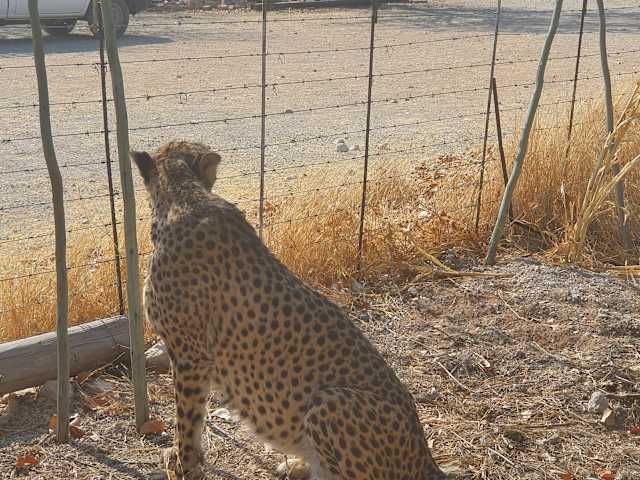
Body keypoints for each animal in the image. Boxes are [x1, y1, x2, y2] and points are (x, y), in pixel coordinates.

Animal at [132, 141, 447, 480]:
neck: (182, 194)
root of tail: (425, 456)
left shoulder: (190, 355)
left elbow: (187, 419)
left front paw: (181, 463)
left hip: (330, 401)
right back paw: (297, 464)